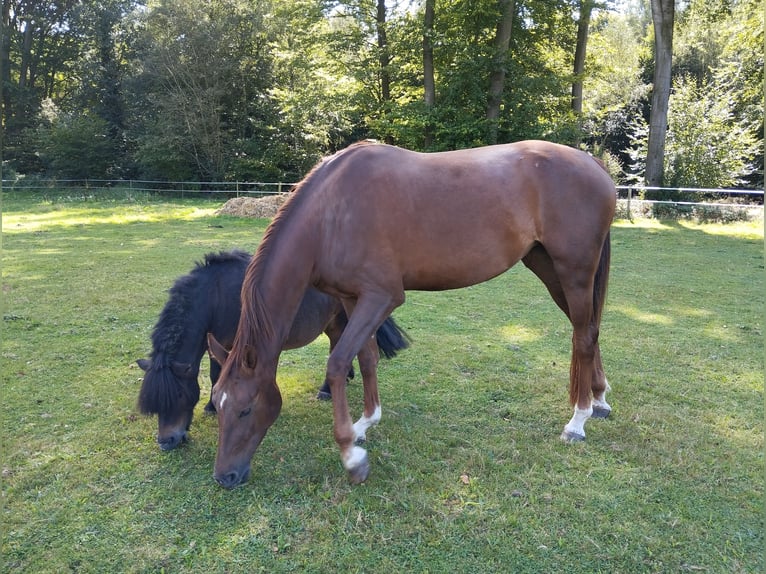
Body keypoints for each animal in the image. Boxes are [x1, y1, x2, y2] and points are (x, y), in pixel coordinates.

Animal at [138, 250, 414, 452]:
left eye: (179, 396)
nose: (166, 442)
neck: (216, 296)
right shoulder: (215, 342)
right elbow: (215, 374)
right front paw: (211, 406)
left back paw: (326, 389)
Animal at [207, 141, 616, 490]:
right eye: (217, 404)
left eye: (244, 409)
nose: (225, 476)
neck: (331, 213)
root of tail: (591, 163)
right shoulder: (353, 298)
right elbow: (366, 357)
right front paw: (365, 423)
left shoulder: (380, 297)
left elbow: (338, 363)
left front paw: (352, 456)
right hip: (547, 266)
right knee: (589, 329)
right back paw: (598, 399)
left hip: (574, 271)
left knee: (583, 335)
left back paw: (577, 421)